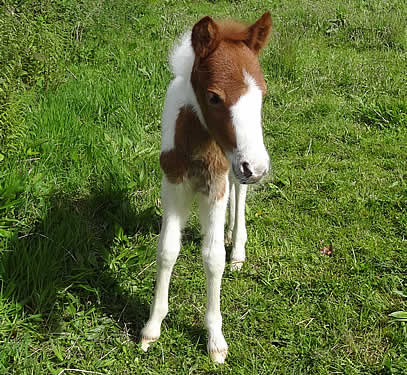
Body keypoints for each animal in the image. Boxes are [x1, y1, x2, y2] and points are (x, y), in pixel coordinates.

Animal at [141, 12, 274, 364]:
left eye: (263, 93)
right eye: (214, 97)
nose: (257, 168)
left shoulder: (216, 184)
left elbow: (213, 258)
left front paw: (215, 339)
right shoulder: (172, 183)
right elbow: (166, 250)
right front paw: (151, 328)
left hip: (235, 166)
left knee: (239, 192)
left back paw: (237, 247)